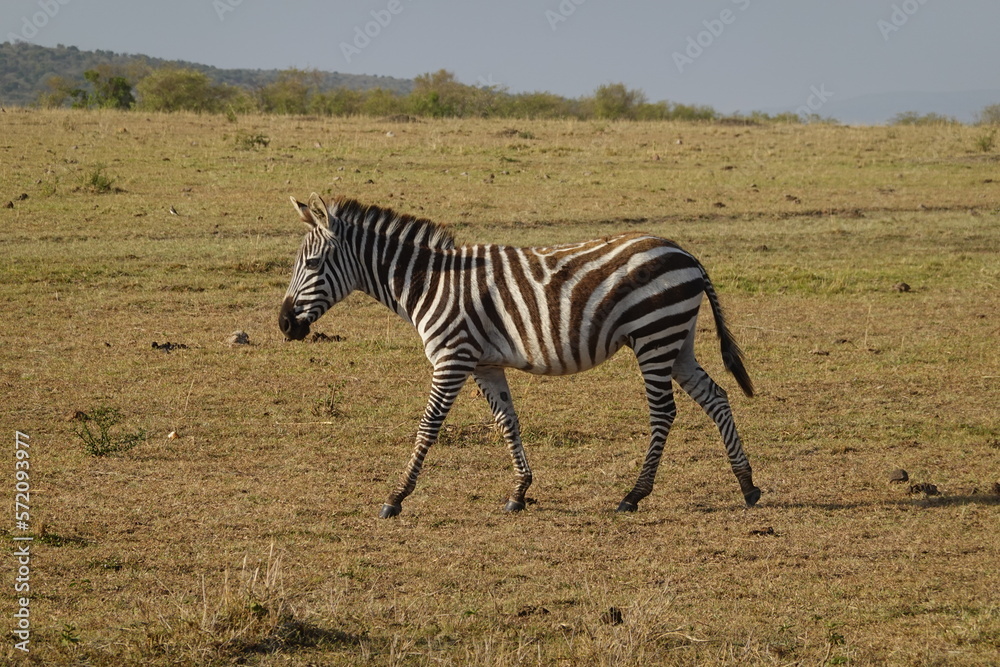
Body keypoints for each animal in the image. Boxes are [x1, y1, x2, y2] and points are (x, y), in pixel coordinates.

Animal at [279, 193, 761, 518]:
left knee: (664, 412)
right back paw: (747, 485)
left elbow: (428, 426)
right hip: (676, 340)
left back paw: (634, 495)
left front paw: (396, 497)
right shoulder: (484, 363)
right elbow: (506, 420)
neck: (427, 282)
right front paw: (520, 491)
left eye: (314, 264)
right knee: (716, 397)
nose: (284, 324)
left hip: (653, 336)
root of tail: (686, 253)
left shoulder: (452, 358)